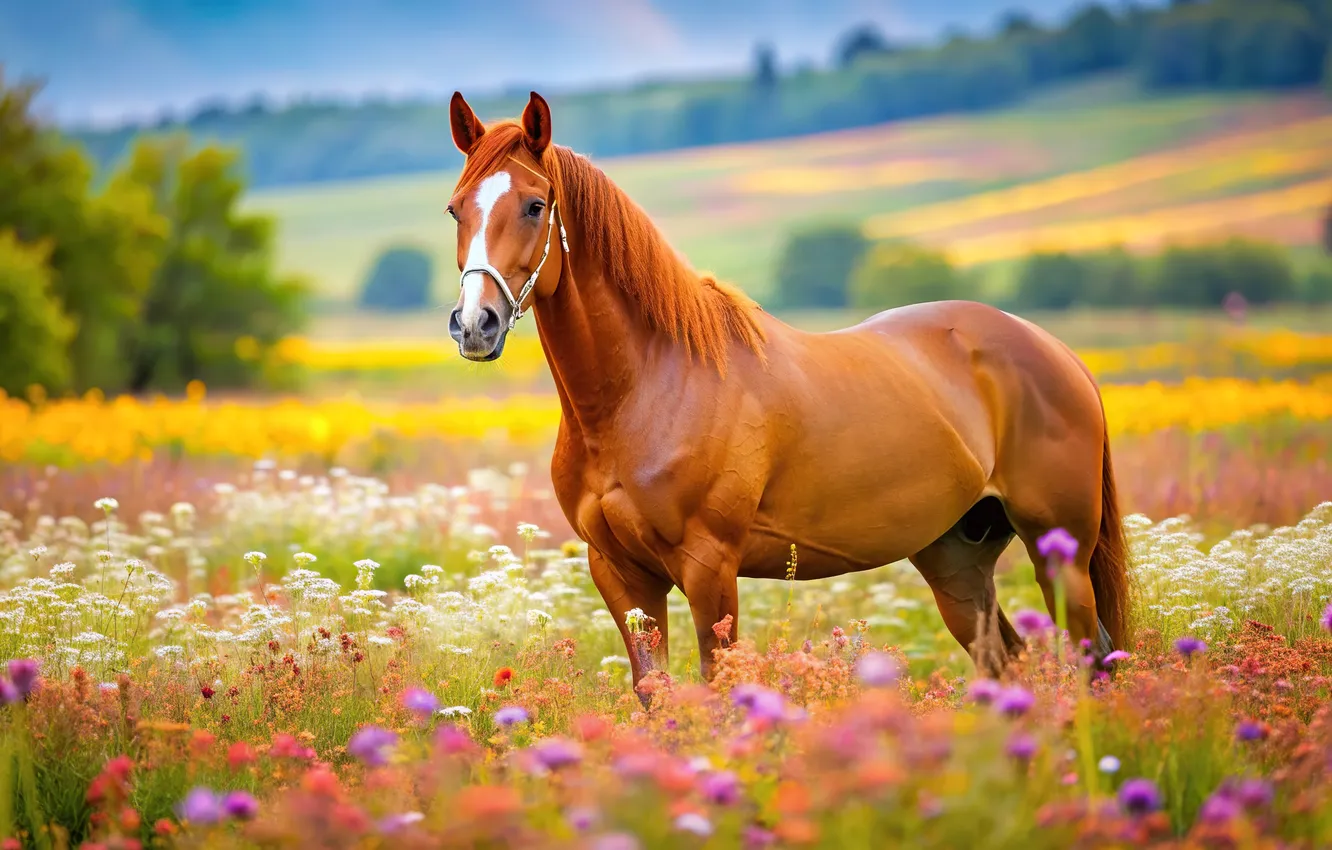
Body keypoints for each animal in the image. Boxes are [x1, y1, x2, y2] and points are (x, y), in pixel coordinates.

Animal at [442, 91, 1129, 692]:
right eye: (456, 209)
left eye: (535, 204)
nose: (475, 325)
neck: (644, 391)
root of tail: (1056, 351)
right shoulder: (619, 574)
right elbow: (655, 694)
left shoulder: (709, 568)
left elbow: (720, 689)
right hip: (956, 559)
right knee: (1005, 661)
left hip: (1058, 551)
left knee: (1092, 659)